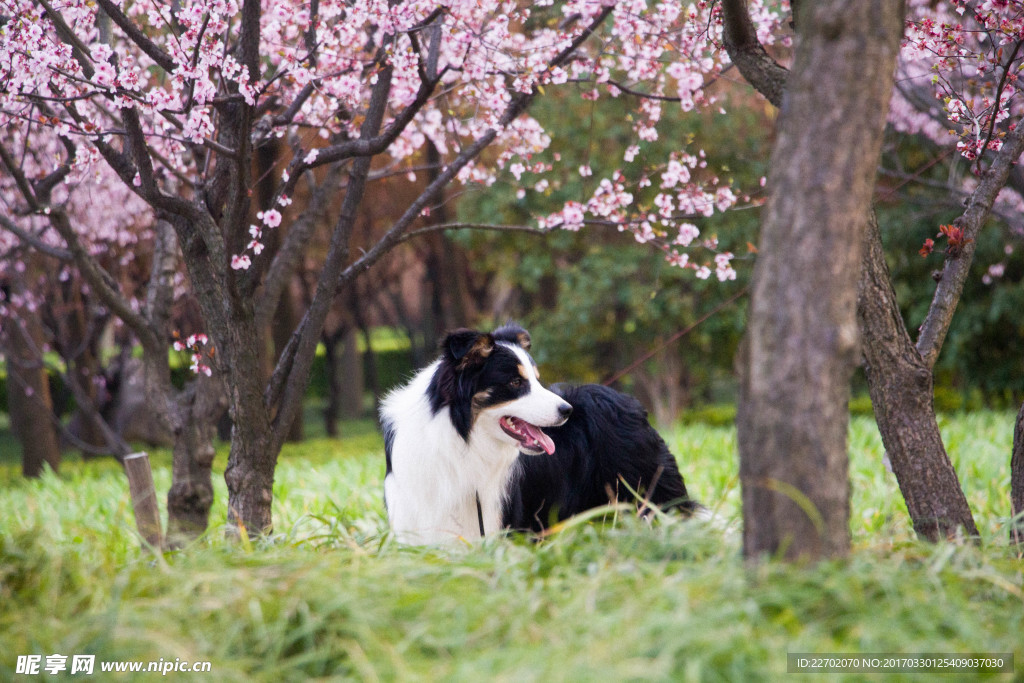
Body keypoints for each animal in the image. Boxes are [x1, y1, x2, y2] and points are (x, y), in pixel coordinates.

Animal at [382, 325, 696, 544]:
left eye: (537, 379)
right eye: (515, 382)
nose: (567, 410)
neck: (461, 438)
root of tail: (629, 402)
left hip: (648, 491)